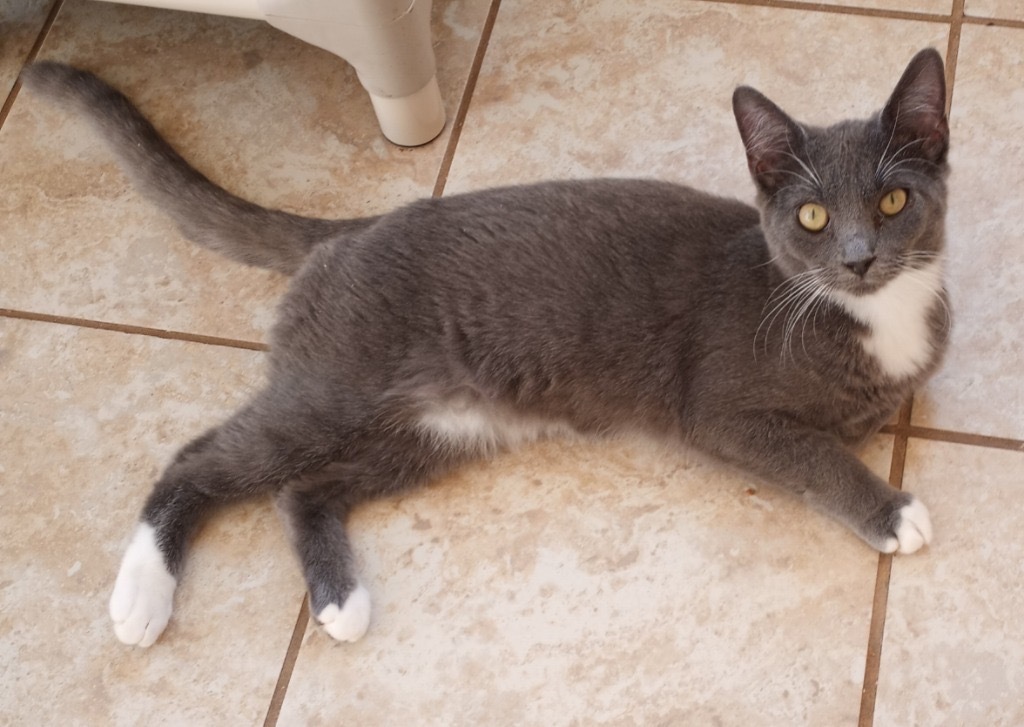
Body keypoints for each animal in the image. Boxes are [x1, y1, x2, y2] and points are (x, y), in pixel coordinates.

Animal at [22, 47, 950, 651]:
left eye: (893, 200)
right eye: (813, 217)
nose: (859, 256)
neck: (868, 314)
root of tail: (353, 228)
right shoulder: (721, 408)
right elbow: (814, 453)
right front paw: (890, 509)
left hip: (437, 429)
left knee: (304, 489)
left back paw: (340, 600)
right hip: (335, 388)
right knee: (203, 457)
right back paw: (141, 596)